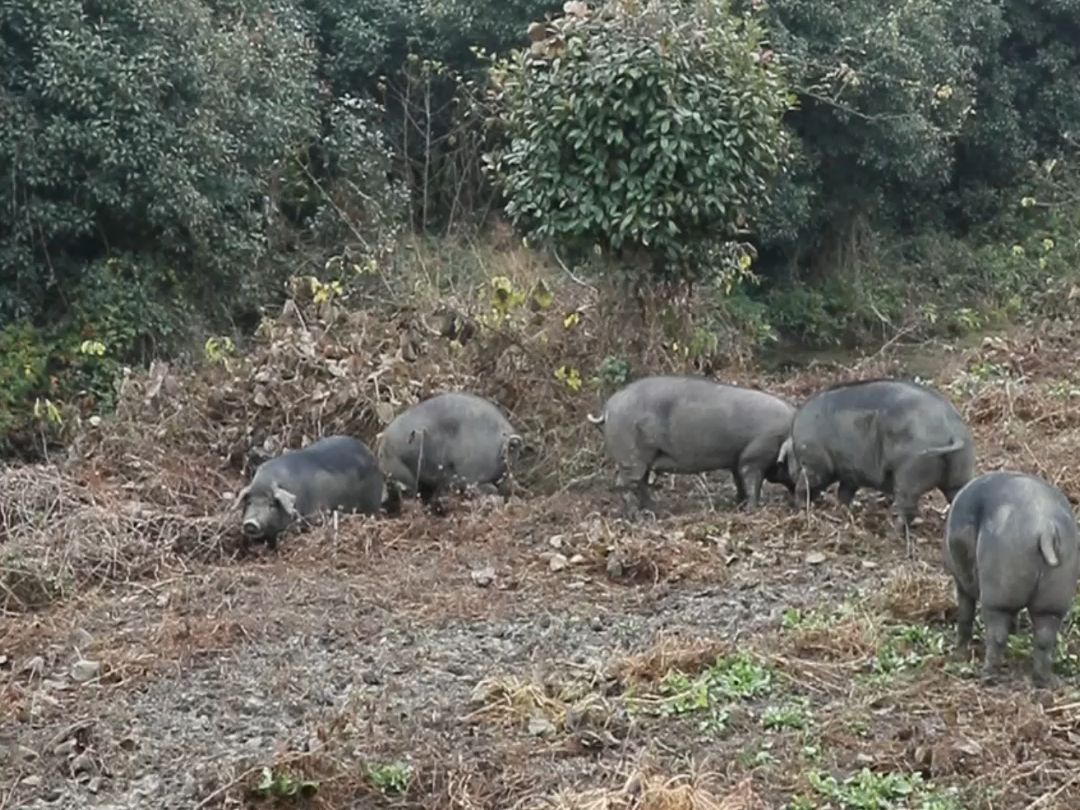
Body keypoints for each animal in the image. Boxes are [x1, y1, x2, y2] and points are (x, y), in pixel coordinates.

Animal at [587, 375, 799, 520]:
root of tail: (608, 408)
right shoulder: (753, 457)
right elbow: (752, 482)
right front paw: (752, 510)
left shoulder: (737, 460)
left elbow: (739, 482)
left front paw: (738, 505)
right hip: (631, 457)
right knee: (624, 484)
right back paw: (638, 518)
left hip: (643, 459)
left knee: (641, 483)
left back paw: (654, 510)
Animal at [773, 378, 976, 557]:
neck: (796, 445)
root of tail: (952, 431)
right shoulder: (851, 473)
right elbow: (844, 493)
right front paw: (842, 512)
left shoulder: (815, 465)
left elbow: (805, 485)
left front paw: (800, 508)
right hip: (960, 470)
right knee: (956, 495)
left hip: (909, 474)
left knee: (908, 508)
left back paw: (892, 534)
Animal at [946, 473, 1080, 686]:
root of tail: (1046, 528)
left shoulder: (961, 582)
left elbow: (965, 615)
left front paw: (957, 654)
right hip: (1056, 593)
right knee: (1045, 637)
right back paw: (1047, 681)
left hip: (998, 591)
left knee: (996, 633)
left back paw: (987, 675)